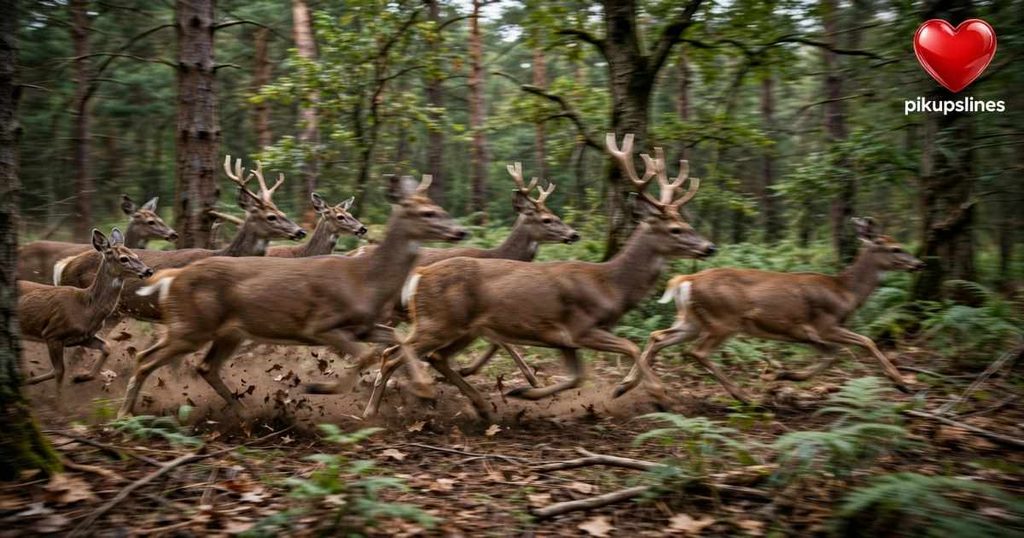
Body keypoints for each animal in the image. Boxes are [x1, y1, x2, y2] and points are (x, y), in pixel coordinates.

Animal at [19, 228, 153, 395]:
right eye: (124, 258)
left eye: (136, 255)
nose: (148, 270)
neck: (86, 307)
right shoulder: (52, 333)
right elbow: (59, 372)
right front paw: (56, 400)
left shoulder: (83, 337)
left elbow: (107, 347)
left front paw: (81, 377)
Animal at [115, 174, 467, 418]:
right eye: (427, 212)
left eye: (439, 208)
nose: (460, 231)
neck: (364, 279)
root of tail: (172, 278)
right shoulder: (320, 325)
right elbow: (365, 356)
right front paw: (322, 387)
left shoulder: (365, 326)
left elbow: (394, 343)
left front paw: (424, 388)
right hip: (191, 326)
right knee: (147, 359)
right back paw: (123, 413)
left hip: (224, 332)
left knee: (198, 366)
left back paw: (243, 412)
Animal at [361, 133, 715, 420]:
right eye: (676, 229)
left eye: (687, 223)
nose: (709, 247)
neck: (609, 286)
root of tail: (420, 274)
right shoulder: (581, 326)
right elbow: (629, 346)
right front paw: (653, 394)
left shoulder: (564, 339)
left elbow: (577, 377)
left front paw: (524, 391)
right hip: (437, 322)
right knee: (392, 354)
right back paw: (372, 411)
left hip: (461, 328)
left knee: (431, 356)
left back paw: (480, 406)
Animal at [629, 217, 924, 404]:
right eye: (896, 248)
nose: (919, 264)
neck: (845, 293)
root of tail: (685, 281)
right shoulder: (825, 324)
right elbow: (865, 341)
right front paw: (902, 383)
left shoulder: (810, 334)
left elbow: (831, 356)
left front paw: (782, 375)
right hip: (723, 319)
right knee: (697, 351)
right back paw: (743, 396)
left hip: (692, 320)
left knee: (658, 336)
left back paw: (630, 384)